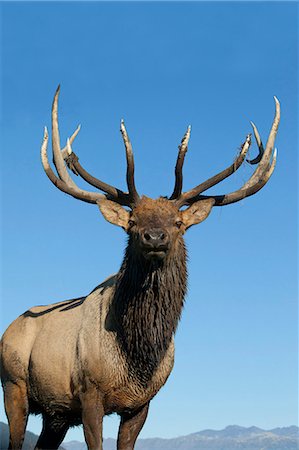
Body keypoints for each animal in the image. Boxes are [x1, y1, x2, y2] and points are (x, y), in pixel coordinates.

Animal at [0, 85, 282, 450]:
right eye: (132, 221)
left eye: (178, 222)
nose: (154, 236)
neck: (138, 356)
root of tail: (9, 328)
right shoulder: (90, 394)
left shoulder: (142, 403)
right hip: (14, 385)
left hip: (56, 413)